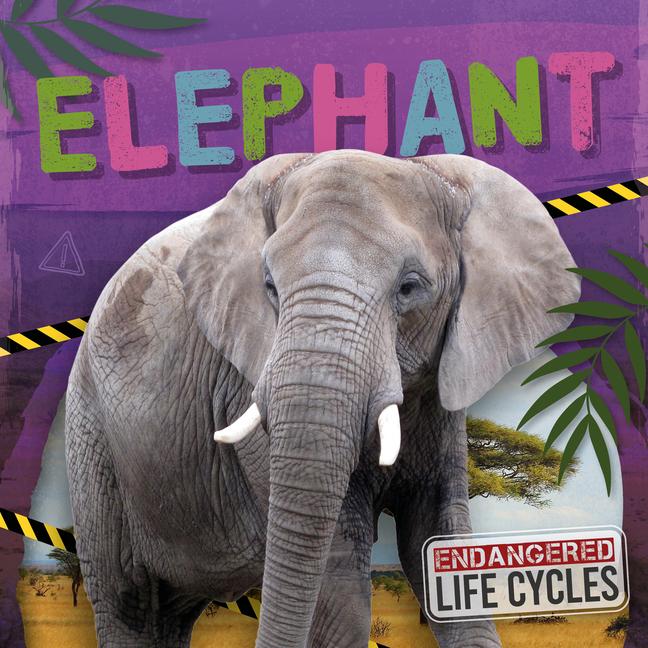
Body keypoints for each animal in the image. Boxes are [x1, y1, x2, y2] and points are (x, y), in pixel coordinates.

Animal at [65, 149, 580, 648]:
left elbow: (437, 538)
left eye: (410, 287)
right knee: (126, 602)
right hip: (92, 432)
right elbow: (338, 584)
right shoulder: (245, 385)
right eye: (269, 287)